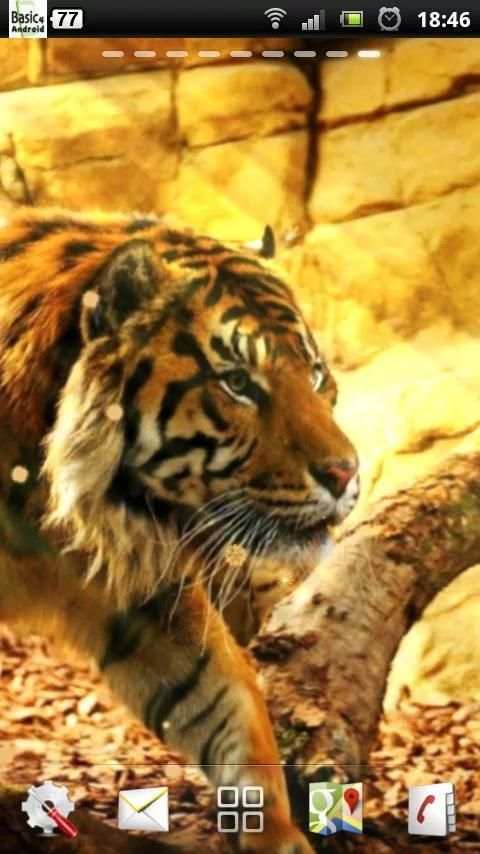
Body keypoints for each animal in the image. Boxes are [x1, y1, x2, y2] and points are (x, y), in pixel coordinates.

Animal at [0, 208, 359, 854]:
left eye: (316, 375)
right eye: (238, 382)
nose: (346, 473)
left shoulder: (141, 583)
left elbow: (226, 695)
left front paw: (277, 835)